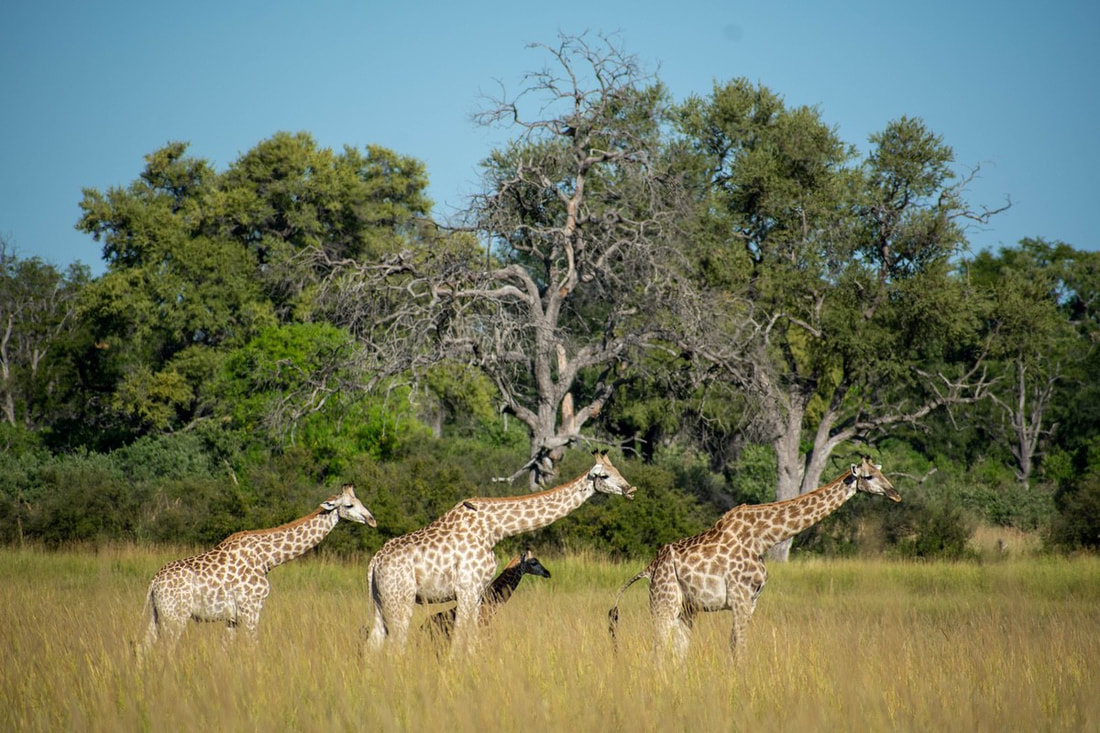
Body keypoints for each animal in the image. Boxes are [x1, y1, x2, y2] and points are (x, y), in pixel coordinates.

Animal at [138, 483, 375, 658]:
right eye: (349, 505)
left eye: (361, 501)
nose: (372, 520)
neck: (267, 559)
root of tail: (153, 584)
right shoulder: (251, 608)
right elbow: (254, 647)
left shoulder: (233, 616)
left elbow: (223, 652)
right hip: (175, 616)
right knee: (166, 650)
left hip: (157, 614)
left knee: (143, 647)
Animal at [608, 456, 899, 662]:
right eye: (869, 476)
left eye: (883, 473)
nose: (895, 494)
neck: (763, 538)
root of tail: (650, 567)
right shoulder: (740, 597)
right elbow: (740, 648)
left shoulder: (752, 599)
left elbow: (734, 646)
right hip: (663, 602)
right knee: (657, 650)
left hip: (686, 608)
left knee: (677, 653)